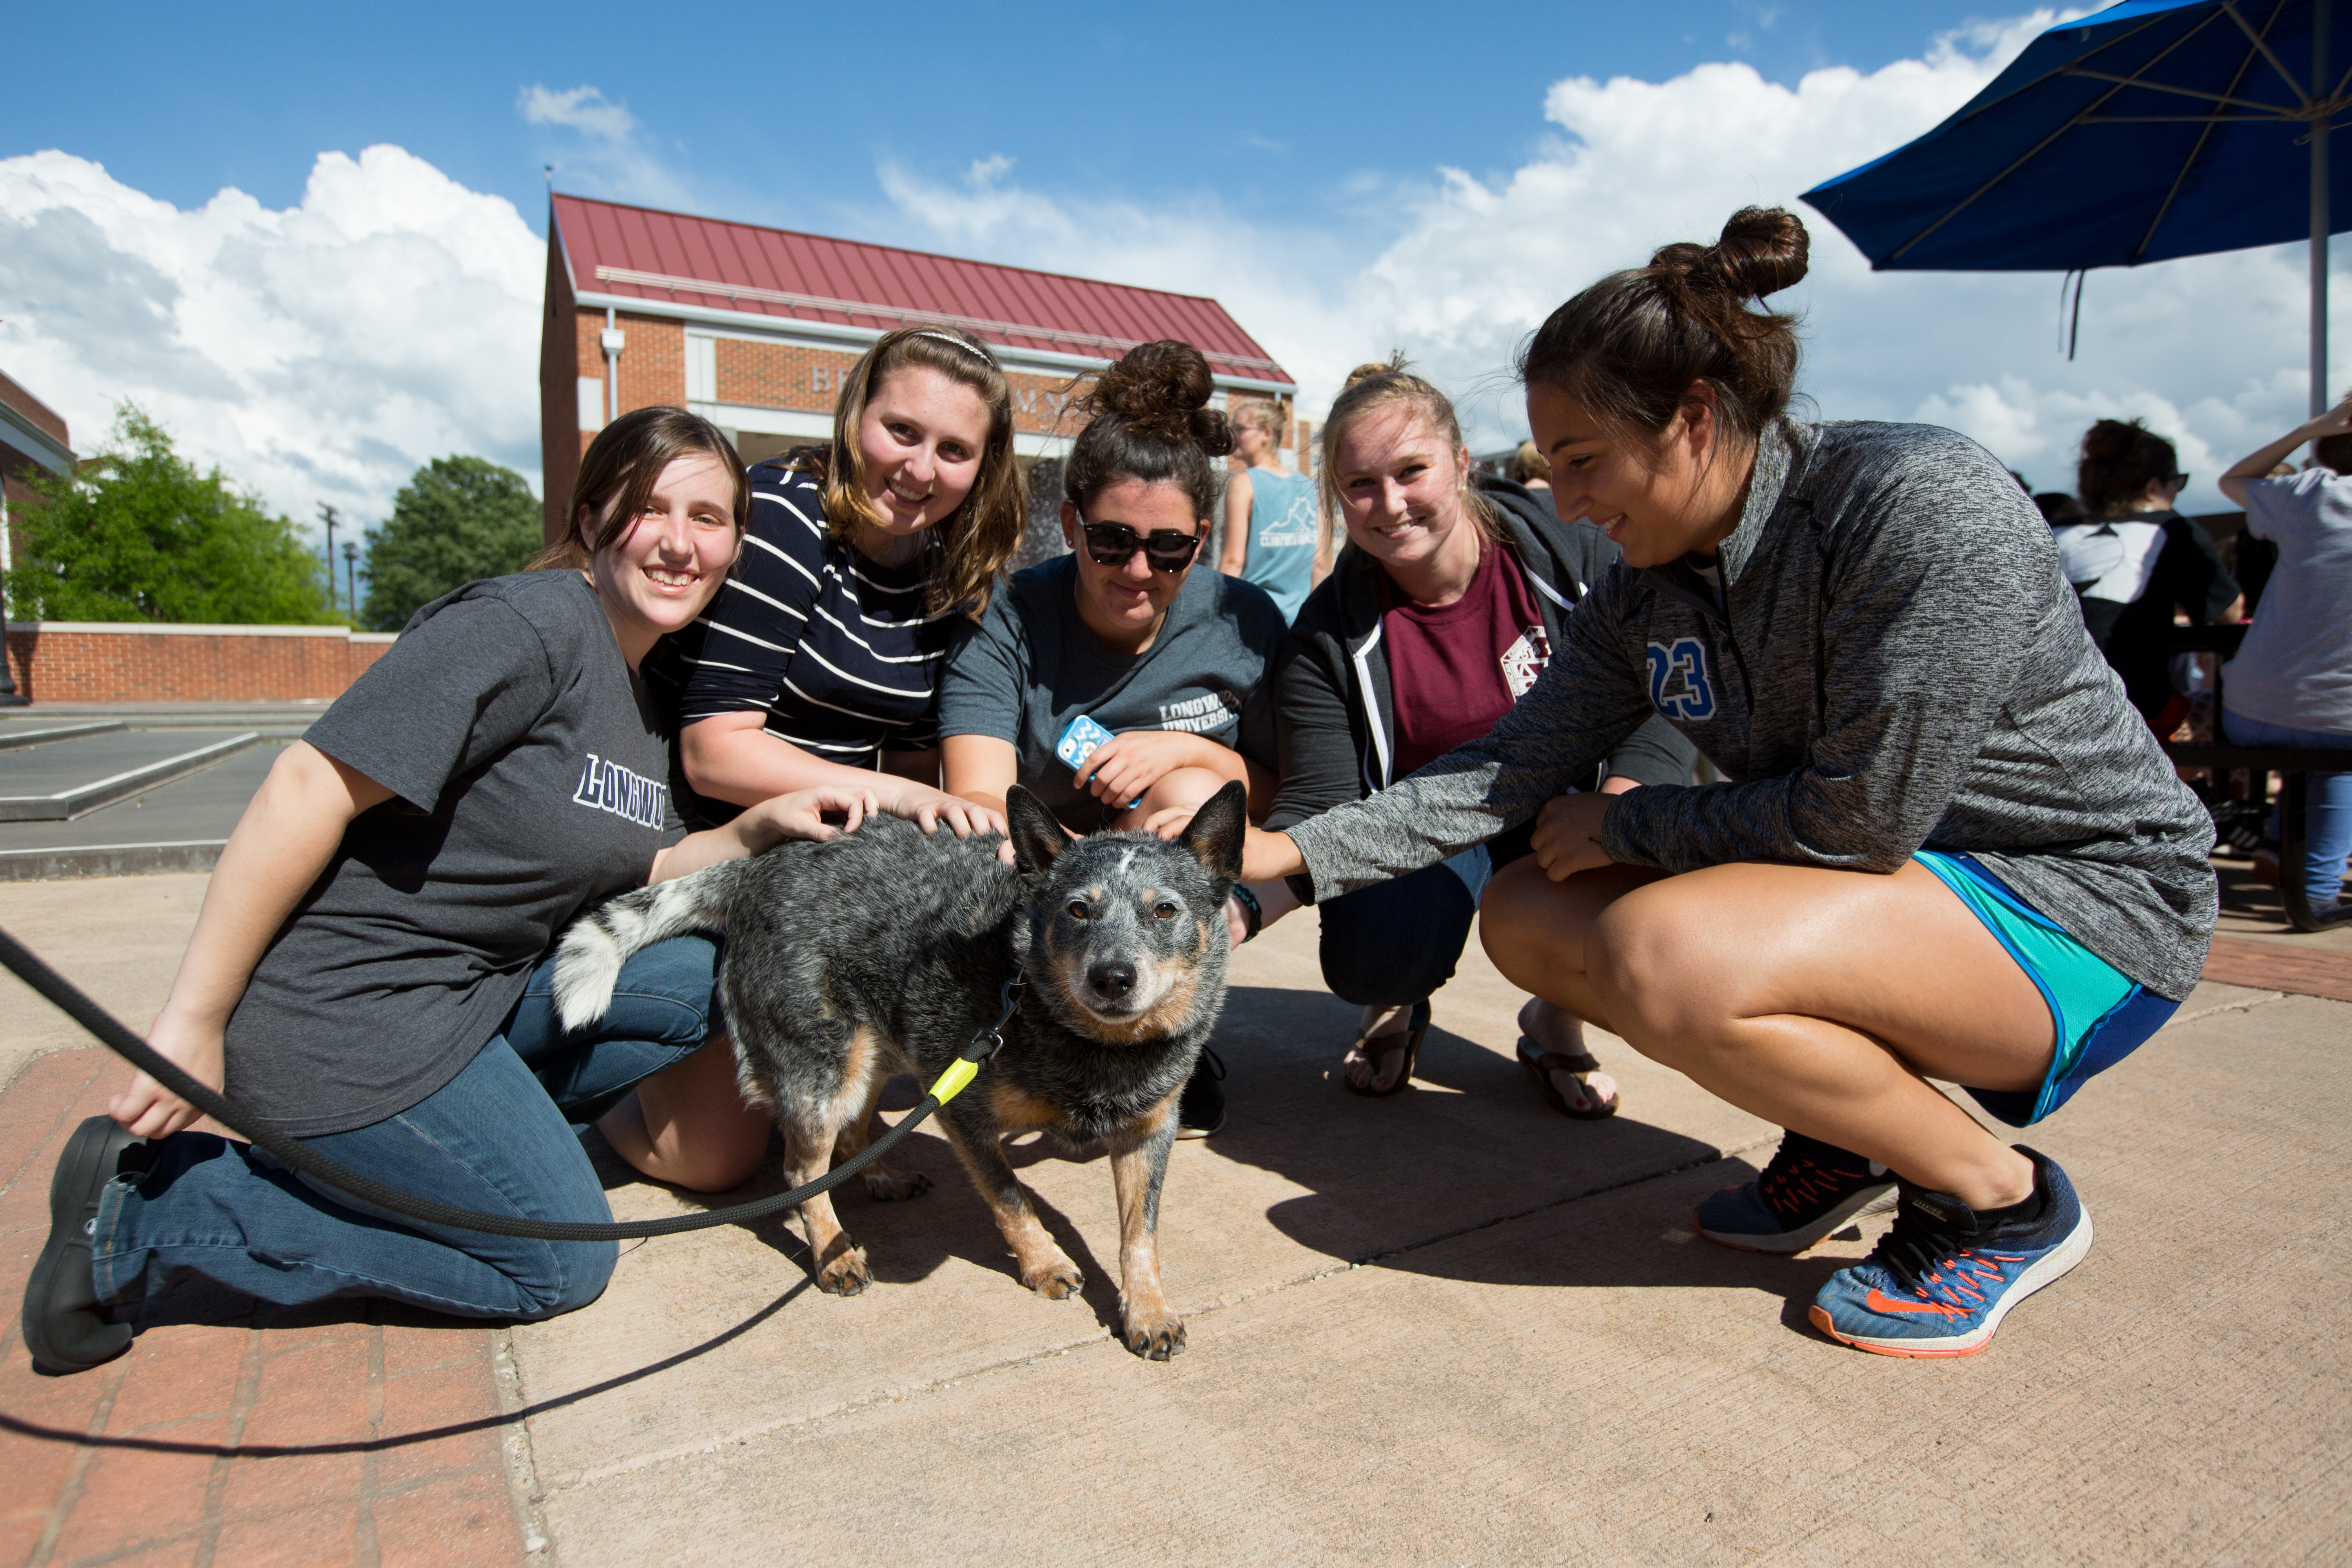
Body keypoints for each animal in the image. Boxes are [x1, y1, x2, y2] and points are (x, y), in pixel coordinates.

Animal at [550, 785, 1251, 1363]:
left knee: (854, 1137)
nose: (1112, 977)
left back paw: (881, 1177)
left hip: (874, 1057)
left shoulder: (1147, 1134)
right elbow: (1011, 1199)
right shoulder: (962, 1108)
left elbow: (1141, 1236)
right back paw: (833, 1253)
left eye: (1165, 911)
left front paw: (1149, 1311)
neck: (1091, 1044)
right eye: (1078, 911)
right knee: (802, 1169)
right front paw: (1045, 1263)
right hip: (825, 1070)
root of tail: (759, 866)